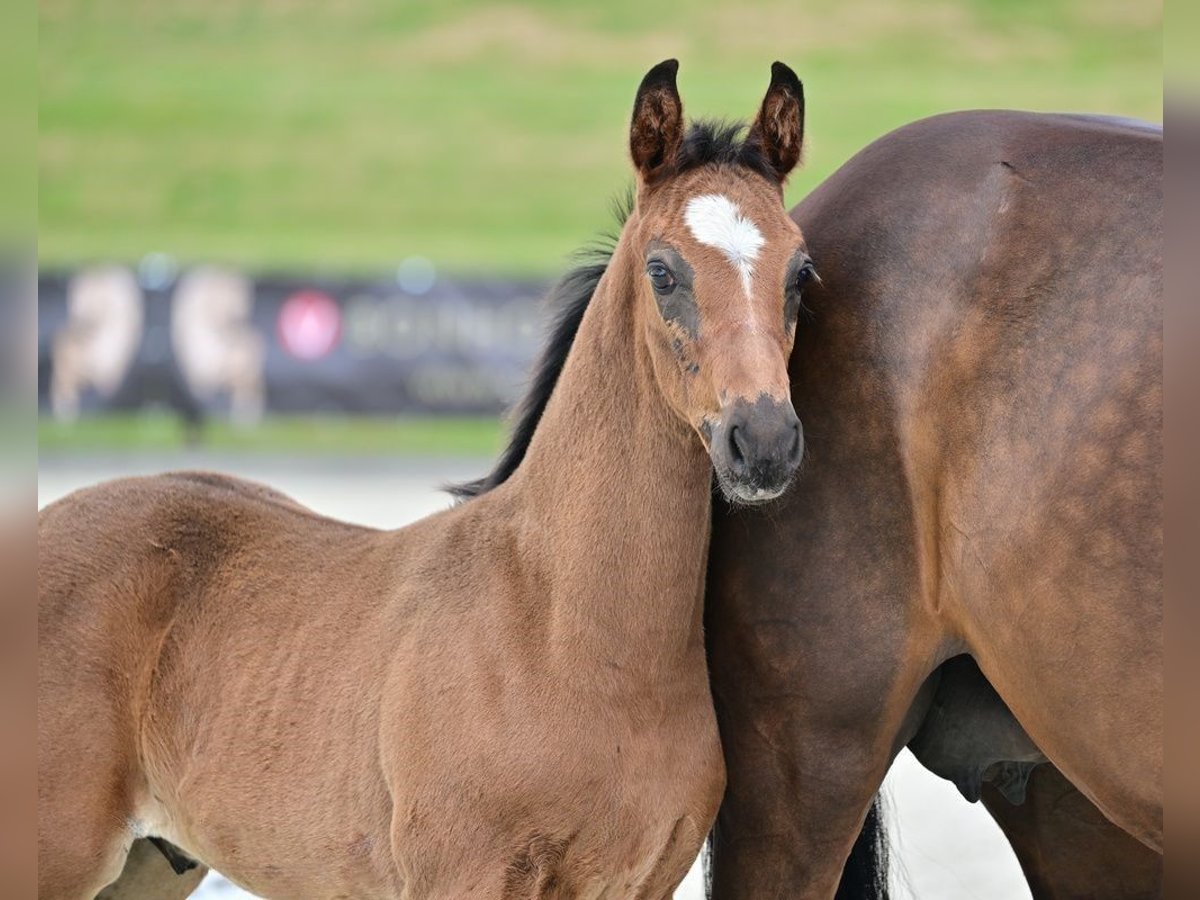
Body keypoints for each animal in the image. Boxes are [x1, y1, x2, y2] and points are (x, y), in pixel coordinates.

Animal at [42, 63, 820, 900]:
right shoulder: (462, 873)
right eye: (663, 271)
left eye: (801, 272)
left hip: (150, 864)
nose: (763, 441)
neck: (569, 634)